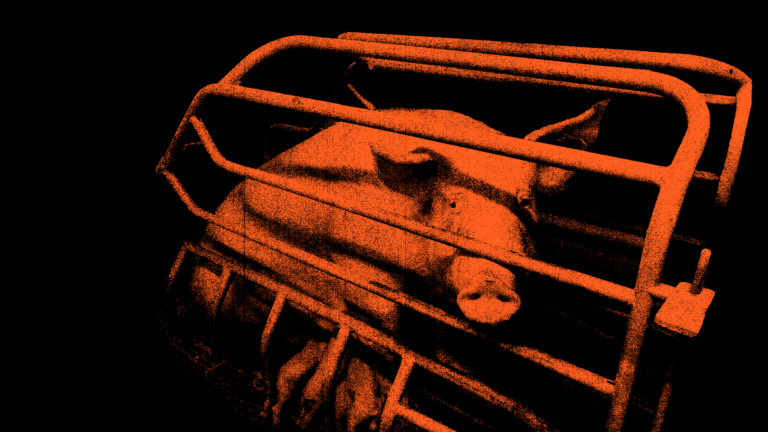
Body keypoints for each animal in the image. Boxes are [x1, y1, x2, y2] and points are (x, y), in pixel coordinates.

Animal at [187, 99, 610, 430]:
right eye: (453, 204)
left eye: (524, 203)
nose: (491, 284)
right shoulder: (359, 269)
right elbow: (387, 332)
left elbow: (446, 341)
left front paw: (462, 373)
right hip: (216, 291)